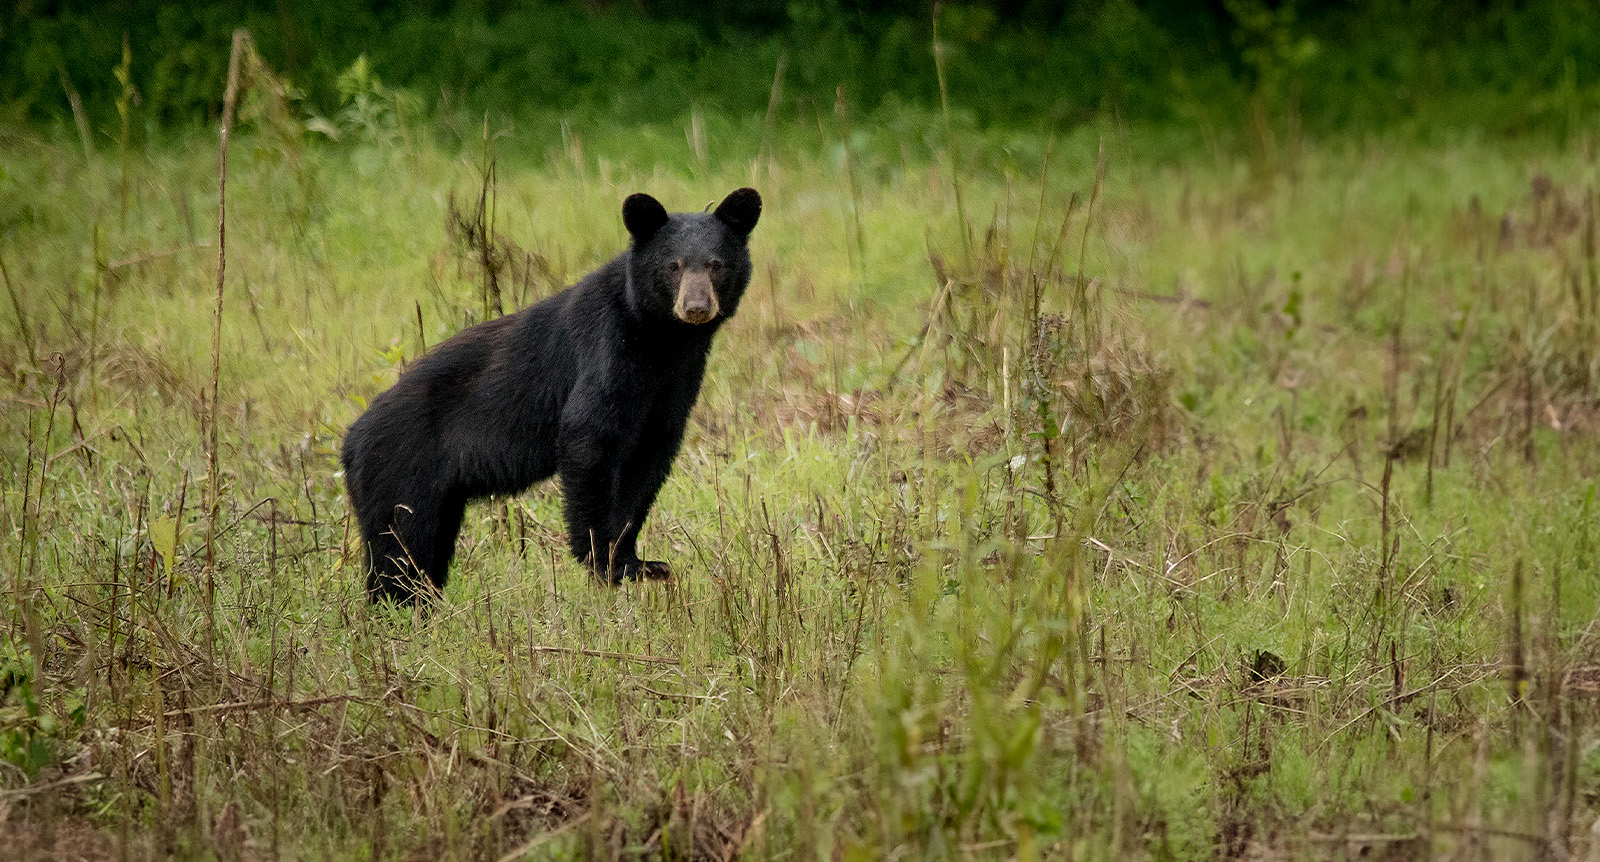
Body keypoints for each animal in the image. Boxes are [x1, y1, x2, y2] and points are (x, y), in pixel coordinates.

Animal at [342, 188, 761, 607]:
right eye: (673, 266)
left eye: (716, 265)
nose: (696, 308)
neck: (663, 340)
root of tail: (350, 439)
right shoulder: (608, 348)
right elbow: (588, 435)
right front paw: (604, 561)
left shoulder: (675, 381)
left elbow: (648, 458)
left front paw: (639, 562)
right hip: (400, 474)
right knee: (399, 548)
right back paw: (397, 608)